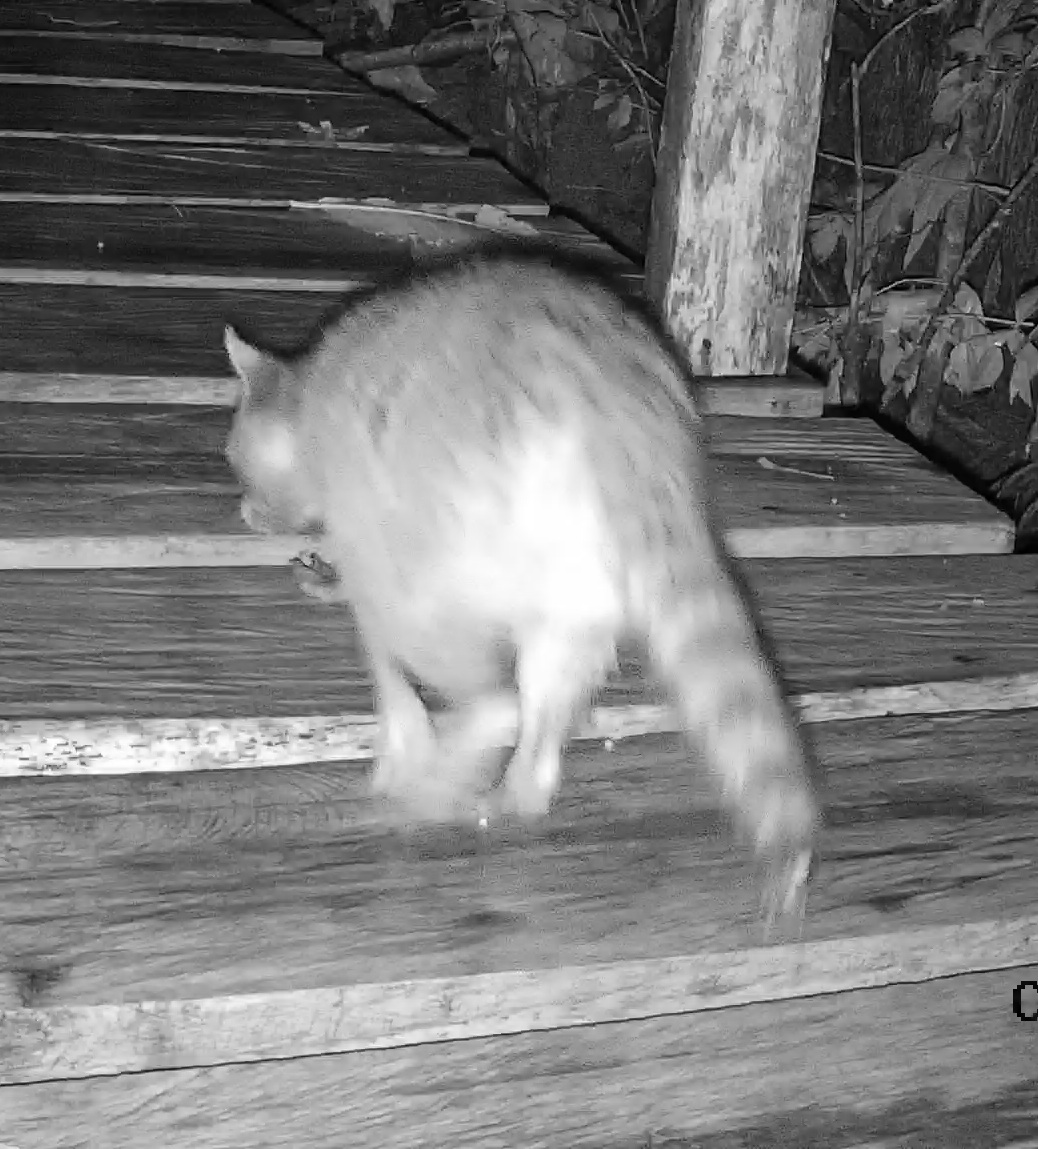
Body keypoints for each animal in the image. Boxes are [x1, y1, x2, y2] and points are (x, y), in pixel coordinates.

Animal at [224, 247, 820, 926]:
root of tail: (620, 409)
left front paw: (394, 712)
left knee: (487, 684)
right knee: (543, 706)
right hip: (579, 583)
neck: (310, 388)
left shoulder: (367, 513)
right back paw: (515, 789)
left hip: (447, 534)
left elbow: (376, 642)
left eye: (236, 465)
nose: (244, 509)